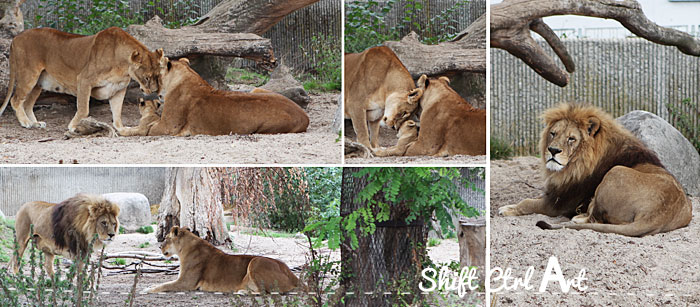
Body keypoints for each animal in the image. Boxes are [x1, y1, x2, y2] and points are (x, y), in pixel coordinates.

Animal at [0, 27, 167, 132]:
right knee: (16, 100)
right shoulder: (84, 80)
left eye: (159, 76)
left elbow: (118, 112)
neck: (123, 68)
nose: (155, 92)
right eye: (146, 77)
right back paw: (26, 123)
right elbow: (83, 109)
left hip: (38, 83)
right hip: (29, 75)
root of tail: (16, 37)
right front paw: (73, 126)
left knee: (27, 103)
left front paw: (121, 128)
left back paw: (35, 123)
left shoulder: (118, 89)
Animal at [126, 59, 308, 137]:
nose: (141, 88)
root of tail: (305, 116)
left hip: (265, 128)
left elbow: (148, 128)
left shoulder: (168, 127)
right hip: (256, 89)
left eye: (151, 75)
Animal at [145, 227, 300, 294]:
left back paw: (242, 292)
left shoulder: (187, 283)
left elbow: (164, 285)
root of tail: (291, 273)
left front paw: (147, 289)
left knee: (266, 292)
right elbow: (162, 283)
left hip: (255, 262)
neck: (183, 249)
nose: (160, 246)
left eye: (166, 238)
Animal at [500, 104, 692, 238]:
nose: (553, 150)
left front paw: (506, 209)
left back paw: (578, 218)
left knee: (596, 218)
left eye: (571, 138)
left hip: (615, 171)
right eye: (553, 133)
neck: (574, 165)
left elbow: (527, 203)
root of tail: (656, 215)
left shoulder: (558, 204)